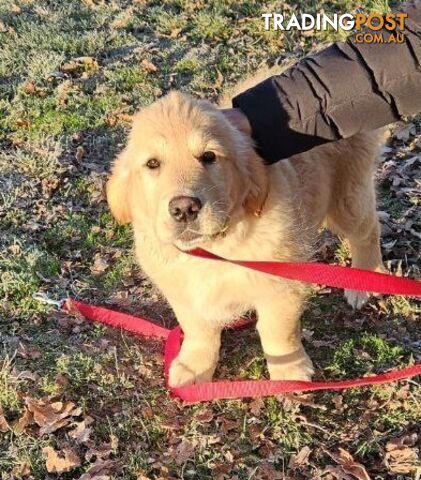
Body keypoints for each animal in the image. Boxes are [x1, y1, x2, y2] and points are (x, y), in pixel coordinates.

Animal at [106, 70, 382, 386]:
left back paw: (365, 280)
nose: (184, 208)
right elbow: (199, 332)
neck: (215, 248)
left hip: (348, 197)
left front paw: (289, 372)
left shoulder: (281, 285)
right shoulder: (184, 295)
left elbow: (277, 331)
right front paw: (193, 367)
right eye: (152, 164)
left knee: (368, 231)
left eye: (209, 157)